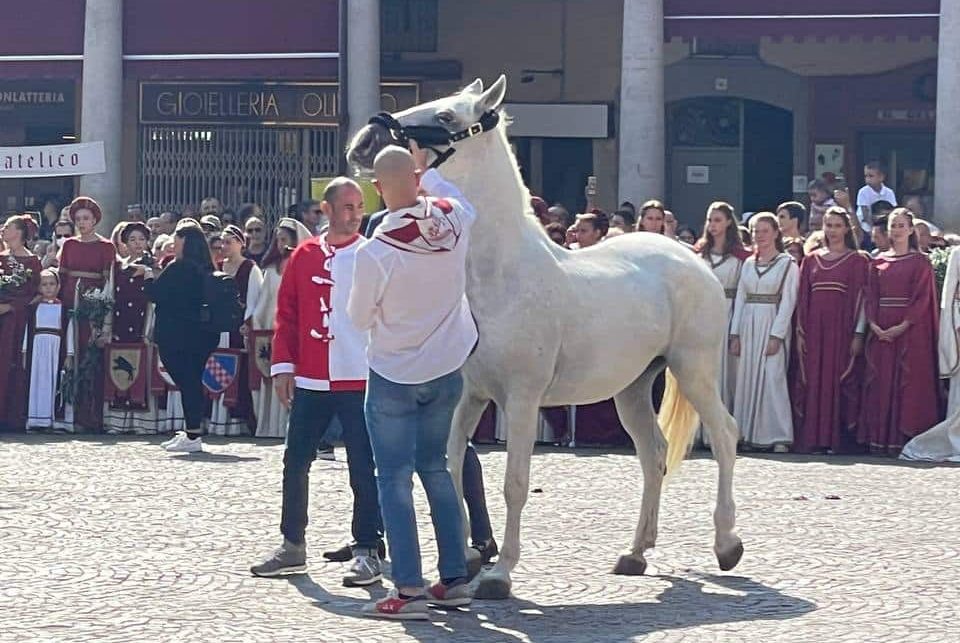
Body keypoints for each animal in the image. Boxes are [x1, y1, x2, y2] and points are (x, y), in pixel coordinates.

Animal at [346, 78, 744, 600]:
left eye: (448, 116)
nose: (364, 141)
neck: (501, 275)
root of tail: (693, 260)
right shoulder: (469, 396)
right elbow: (450, 469)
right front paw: (466, 560)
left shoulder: (521, 398)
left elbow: (515, 482)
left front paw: (499, 573)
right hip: (633, 388)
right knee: (653, 453)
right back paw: (636, 553)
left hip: (694, 368)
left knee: (724, 435)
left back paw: (726, 544)